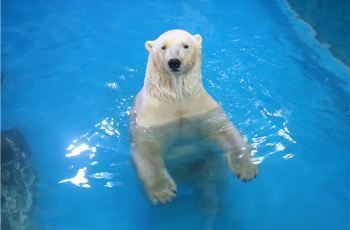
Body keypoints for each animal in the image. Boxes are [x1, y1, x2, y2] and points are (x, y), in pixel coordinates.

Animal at [130, 29, 258, 204]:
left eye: (186, 45)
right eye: (163, 47)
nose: (174, 62)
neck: (176, 99)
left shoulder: (201, 108)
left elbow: (225, 131)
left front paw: (246, 169)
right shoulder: (152, 119)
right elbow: (147, 149)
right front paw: (163, 192)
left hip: (210, 160)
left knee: (213, 178)